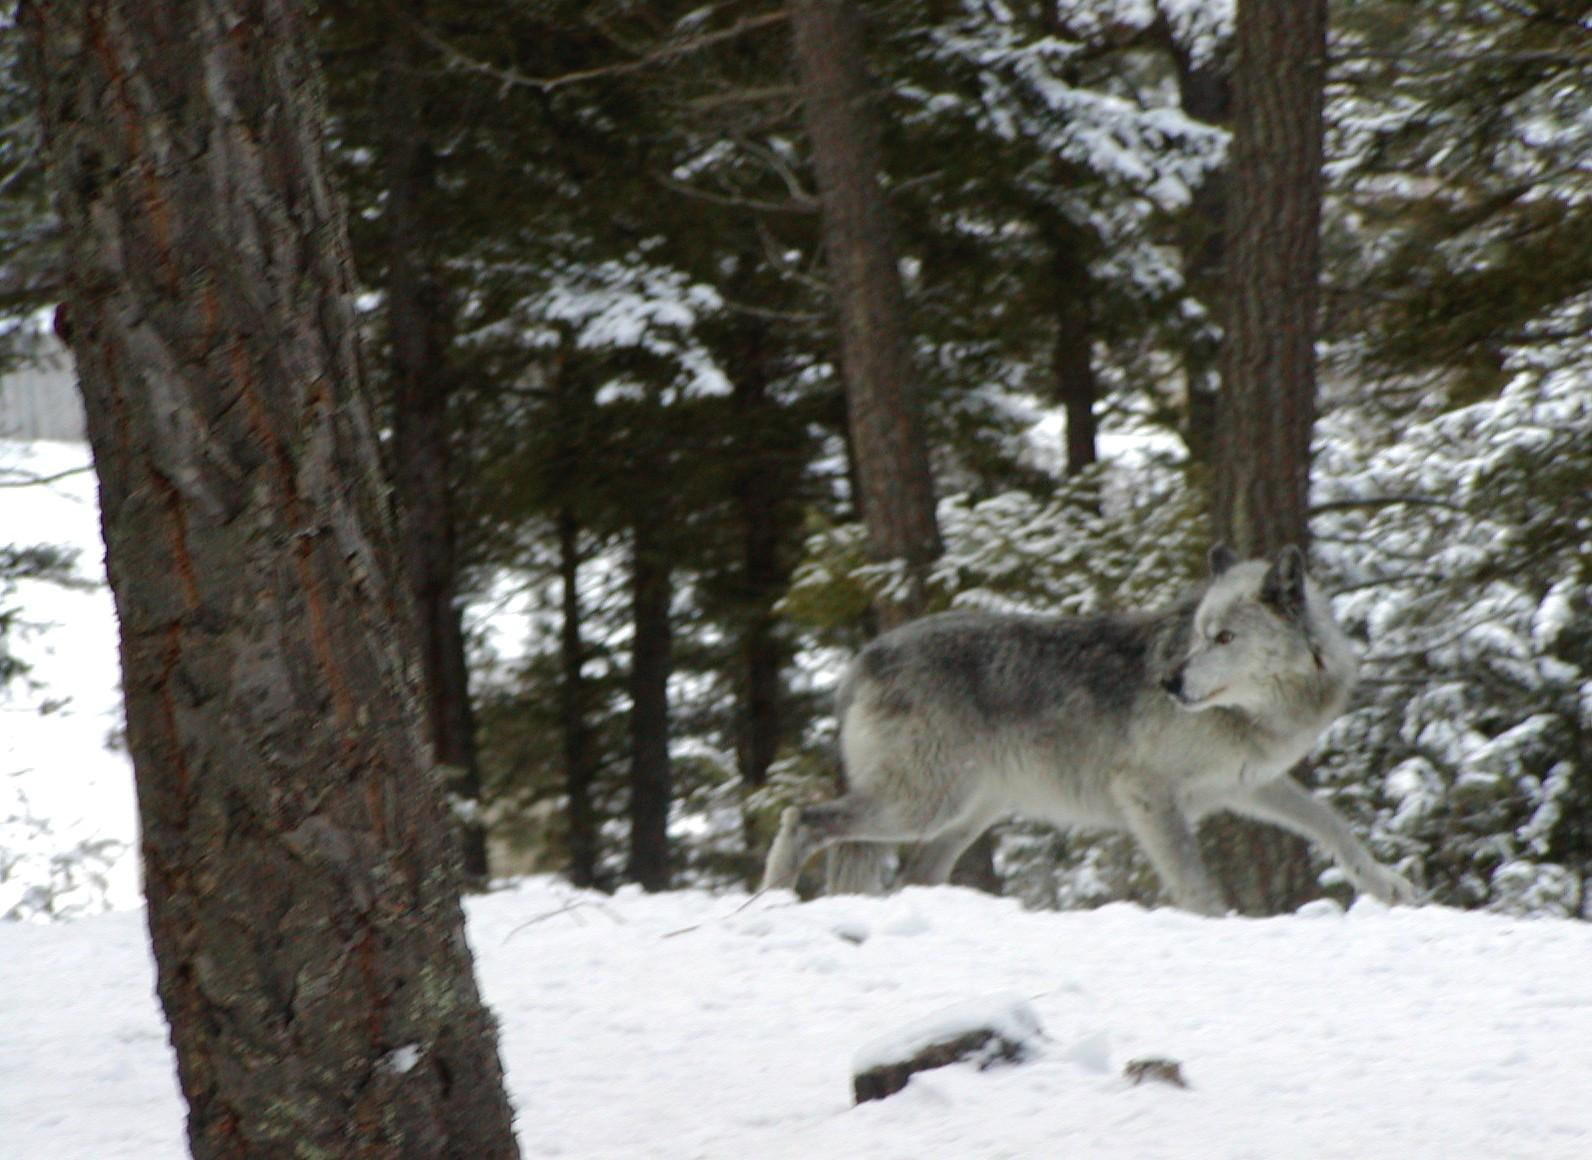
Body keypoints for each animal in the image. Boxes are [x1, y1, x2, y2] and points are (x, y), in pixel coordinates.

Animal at [762, 545, 1416, 914]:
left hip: (963, 816)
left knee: (908, 875)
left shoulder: (1249, 786)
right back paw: (769, 906)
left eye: (1224, 638)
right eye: (1199, 636)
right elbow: (1196, 884)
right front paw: (1217, 925)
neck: (1253, 714)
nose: (1169, 683)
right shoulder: (1147, 795)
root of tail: (862, 658)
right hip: (923, 806)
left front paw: (1389, 887)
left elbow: (1333, 824)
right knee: (801, 819)